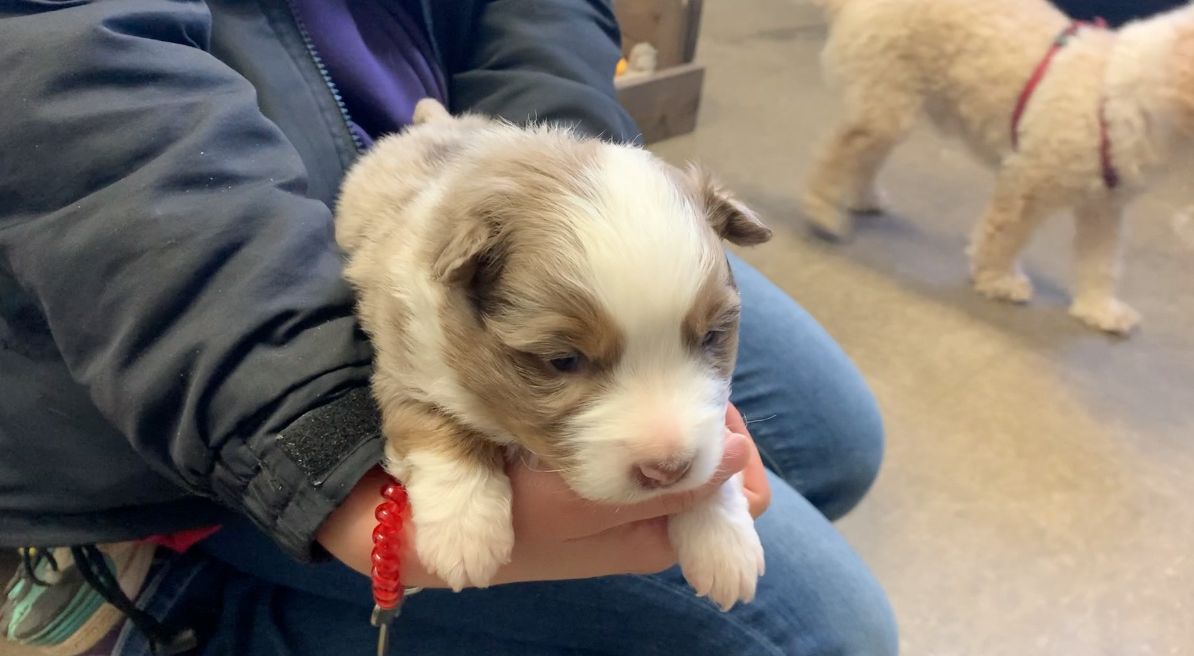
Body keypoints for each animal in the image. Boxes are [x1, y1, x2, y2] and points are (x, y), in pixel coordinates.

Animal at [335, 99, 770, 610]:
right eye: (563, 360)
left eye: (713, 336)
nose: (668, 469)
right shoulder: (403, 350)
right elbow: (429, 419)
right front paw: (463, 530)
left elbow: (718, 450)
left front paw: (724, 541)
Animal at [801, 0, 1194, 334]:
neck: (1128, 96)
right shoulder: (1026, 182)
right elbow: (1004, 235)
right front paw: (998, 279)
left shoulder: (1104, 208)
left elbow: (1101, 264)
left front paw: (1099, 309)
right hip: (884, 108)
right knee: (837, 153)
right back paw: (823, 213)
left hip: (890, 105)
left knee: (862, 156)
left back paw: (862, 198)